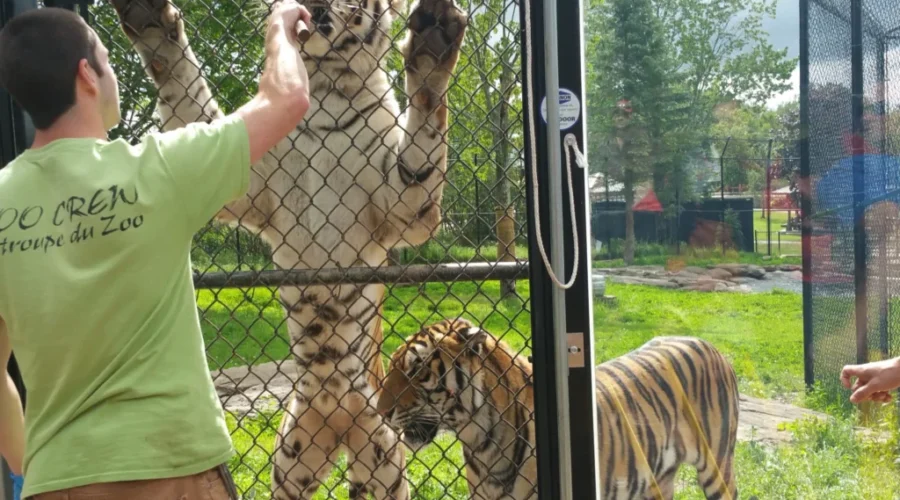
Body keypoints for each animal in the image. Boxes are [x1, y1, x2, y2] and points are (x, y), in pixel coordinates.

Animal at [107, 0, 468, 498]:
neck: (324, 89)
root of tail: (338, 422)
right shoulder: (244, 176)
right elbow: (185, 94)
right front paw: (148, 20)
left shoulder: (402, 205)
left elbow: (423, 146)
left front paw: (434, 43)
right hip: (291, 457)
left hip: (386, 458)